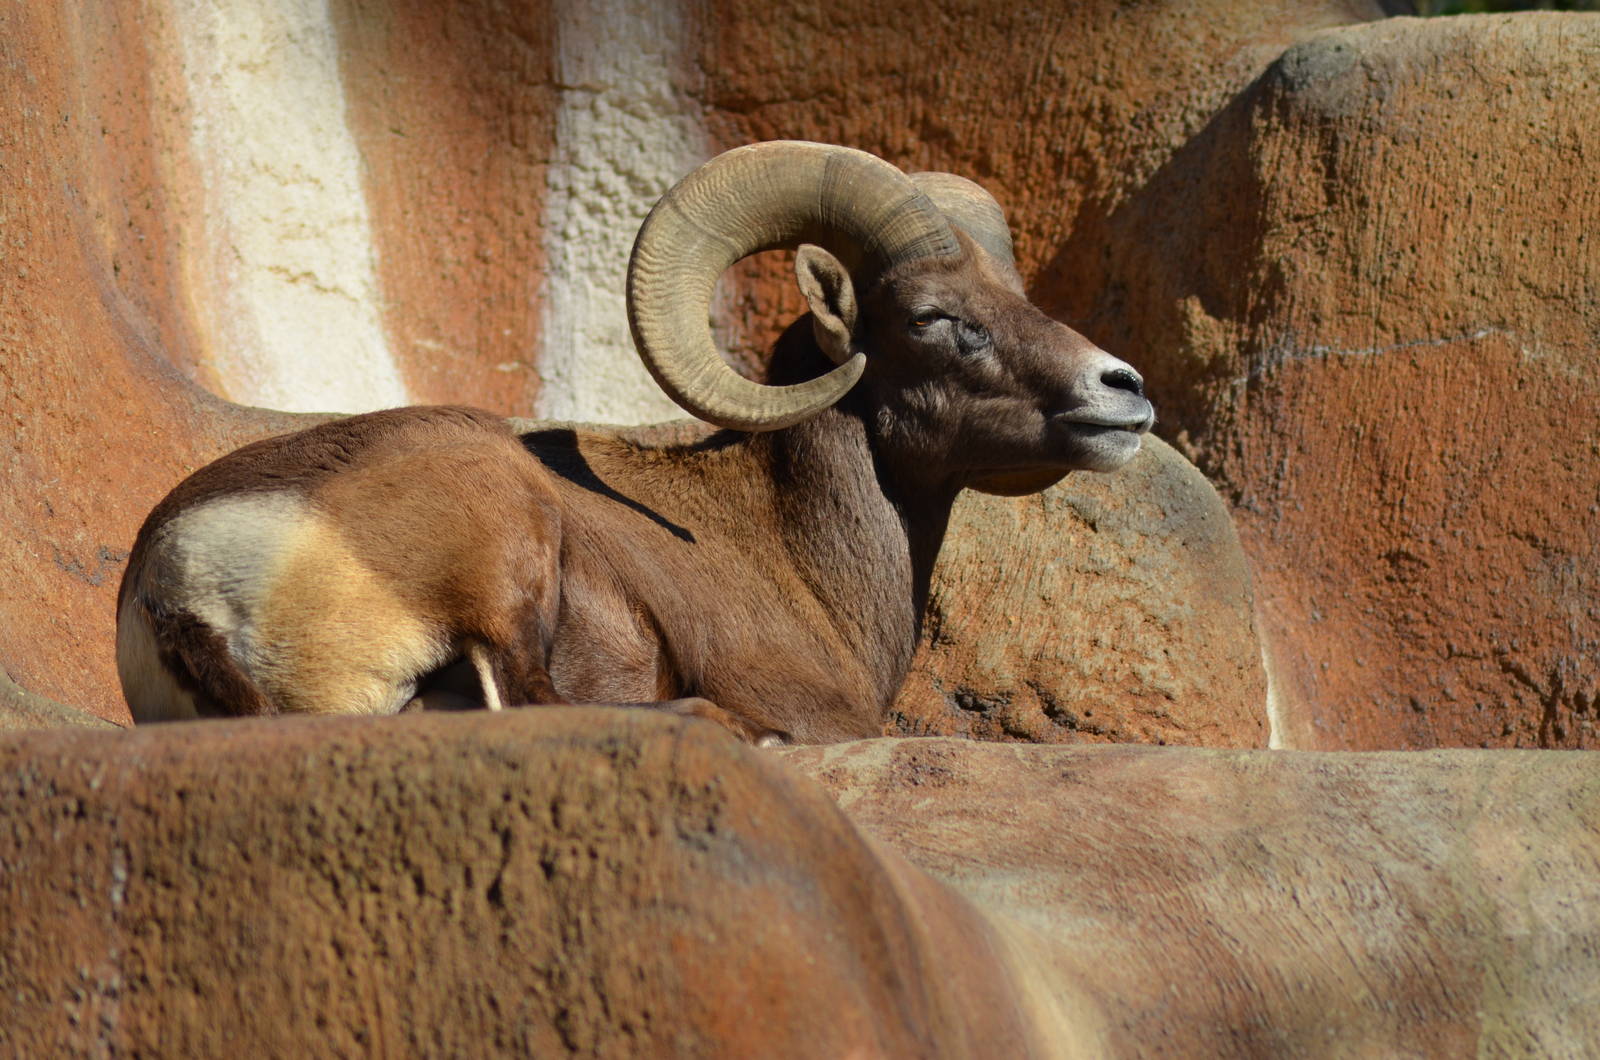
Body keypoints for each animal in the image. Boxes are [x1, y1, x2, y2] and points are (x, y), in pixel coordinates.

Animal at [115, 141, 1154, 745]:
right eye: (935, 316)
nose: (1125, 391)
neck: (790, 554)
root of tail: (183, 582)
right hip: (505, 531)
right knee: (523, 702)